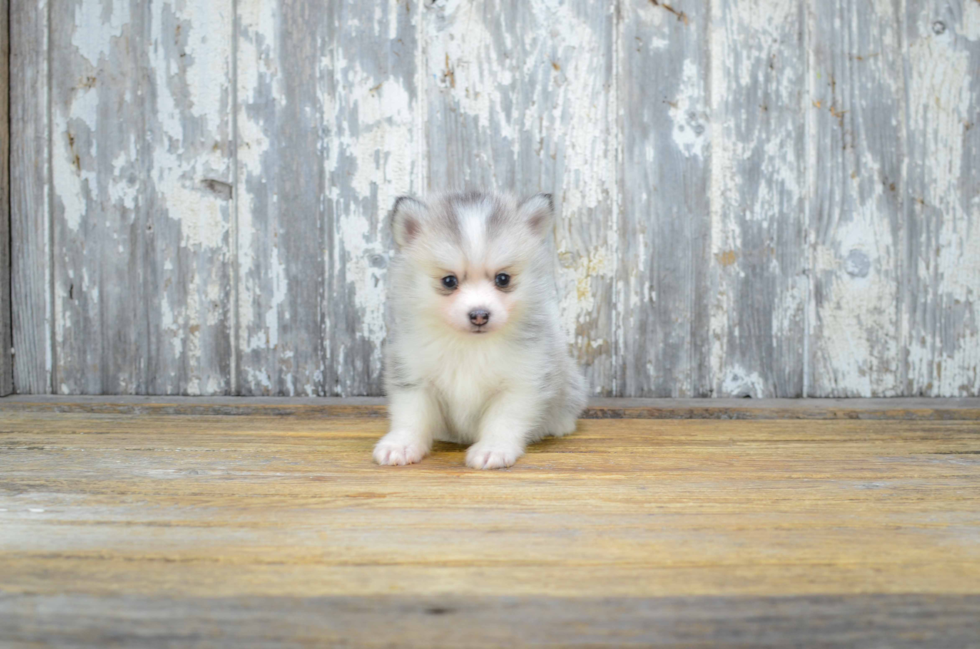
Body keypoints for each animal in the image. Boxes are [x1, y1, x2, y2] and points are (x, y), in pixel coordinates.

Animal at [374, 190, 584, 468]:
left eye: (503, 279)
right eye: (449, 281)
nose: (479, 315)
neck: (469, 346)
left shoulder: (521, 382)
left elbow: (503, 421)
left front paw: (493, 449)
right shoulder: (413, 377)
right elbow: (411, 417)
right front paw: (401, 444)